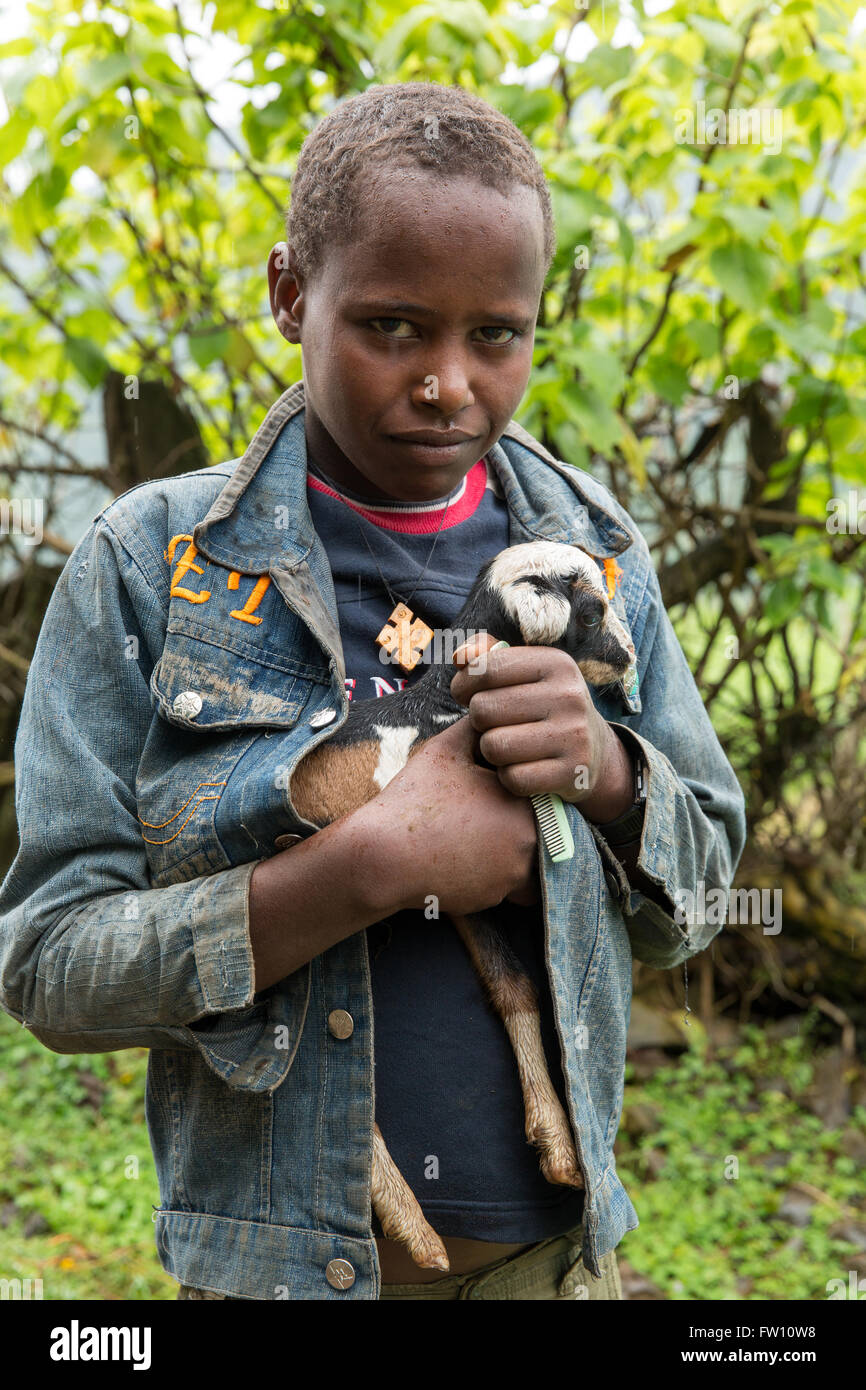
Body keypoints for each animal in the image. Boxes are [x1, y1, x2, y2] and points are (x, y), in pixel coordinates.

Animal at [291, 539, 636, 1273]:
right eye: (591, 612)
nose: (627, 658)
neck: (437, 710)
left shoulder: (459, 890)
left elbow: (514, 983)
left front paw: (556, 1148)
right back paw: (416, 1233)